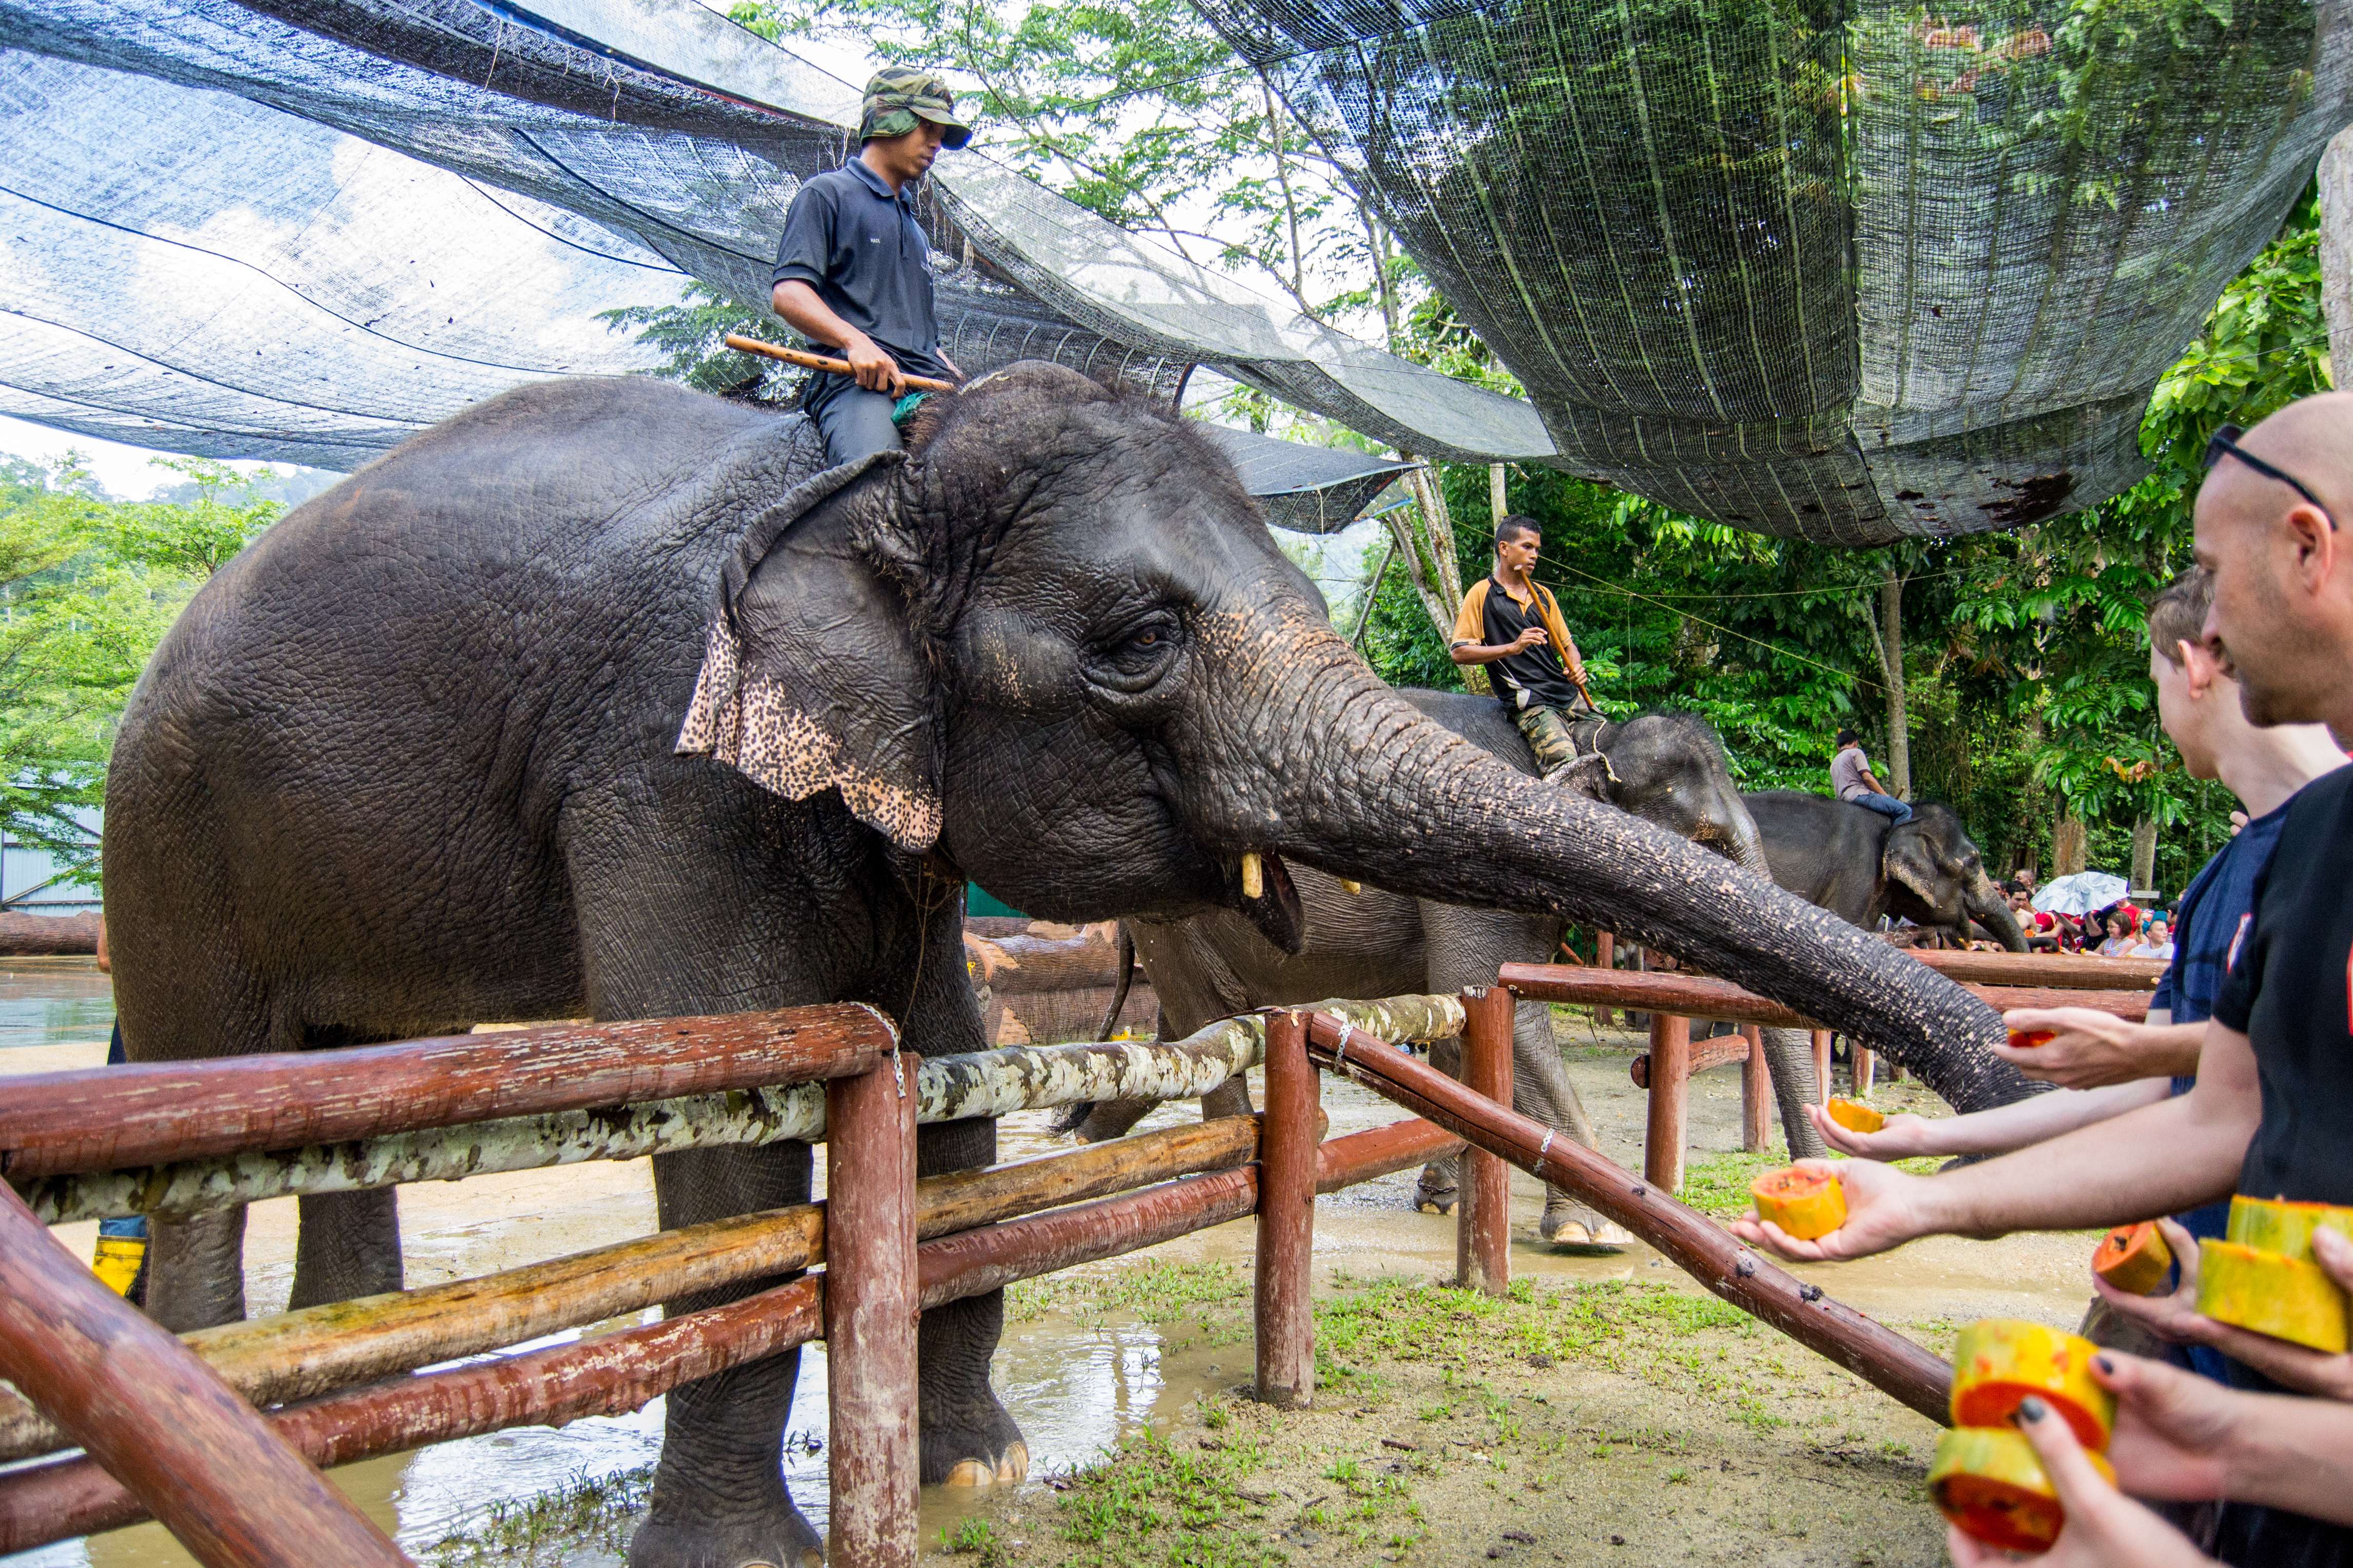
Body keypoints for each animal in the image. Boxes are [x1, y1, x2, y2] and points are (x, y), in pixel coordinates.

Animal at [1069, 696, 1834, 1237]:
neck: (1583, 737)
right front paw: (1590, 1232)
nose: (1803, 1190)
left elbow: (1463, 1015)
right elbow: (1503, 1006)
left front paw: (1441, 1199)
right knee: (1205, 1022)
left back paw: (1080, 1144)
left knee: (1182, 1035)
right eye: (1703, 842)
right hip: (1169, 909)